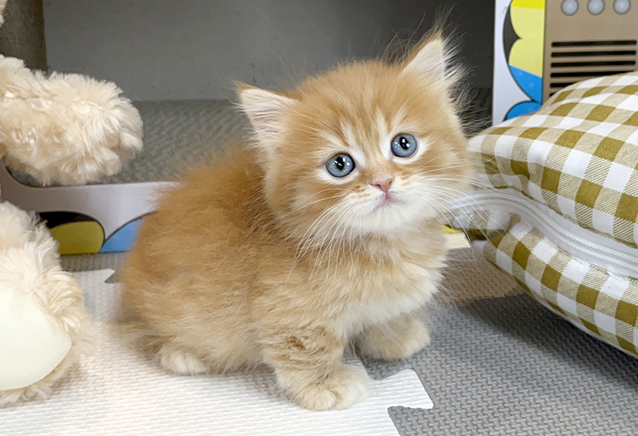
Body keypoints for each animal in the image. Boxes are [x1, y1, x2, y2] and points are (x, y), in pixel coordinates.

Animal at [121, 30, 472, 411]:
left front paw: (394, 335)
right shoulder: (288, 307)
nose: (383, 182)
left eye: (403, 145)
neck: (380, 245)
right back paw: (182, 354)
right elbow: (305, 347)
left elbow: (382, 315)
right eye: (340, 165)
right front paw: (324, 384)